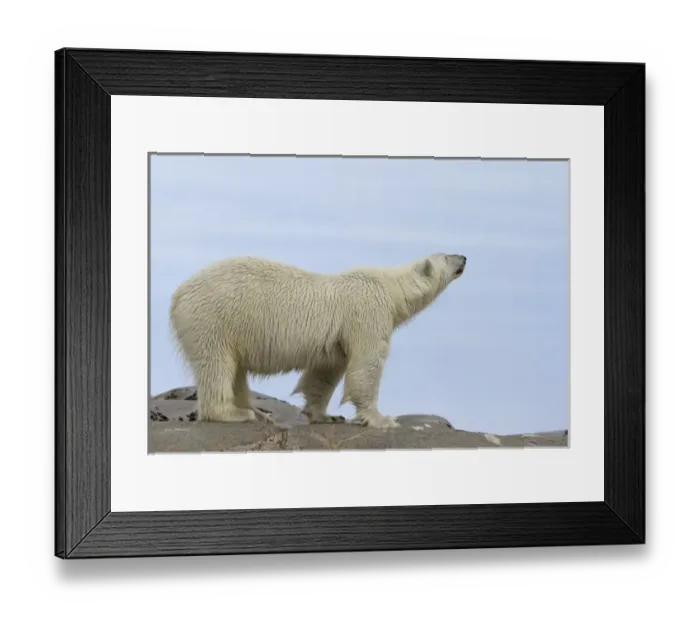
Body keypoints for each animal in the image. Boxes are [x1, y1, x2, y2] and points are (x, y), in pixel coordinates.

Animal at [168, 253, 467, 429]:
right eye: (447, 256)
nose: (464, 257)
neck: (389, 287)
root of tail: (178, 294)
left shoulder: (336, 340)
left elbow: (325, 372)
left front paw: (325, 415)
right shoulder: (368, 313)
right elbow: (366, 366)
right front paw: (382, 419)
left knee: (235, 371)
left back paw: (259, 413)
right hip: (214, 320)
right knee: (217, 365)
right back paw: (234, 414)